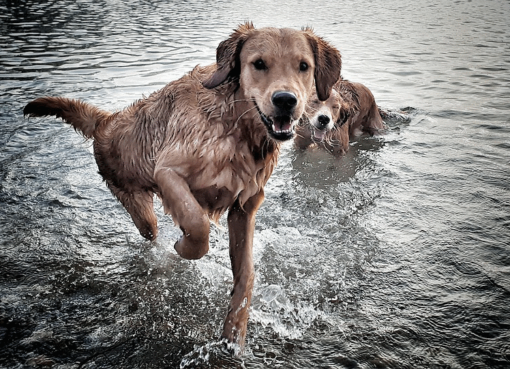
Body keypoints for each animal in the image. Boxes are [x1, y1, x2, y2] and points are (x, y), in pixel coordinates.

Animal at [23, 23, 342, 350]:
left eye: (303, 66)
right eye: (259, 64)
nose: (285, 100)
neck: (235, 128)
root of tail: (106, 122)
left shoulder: (244, 207)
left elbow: (246, 275)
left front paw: (234, 334)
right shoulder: (168, 172)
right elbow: (197, 225)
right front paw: (183, 246)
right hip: (139, 209)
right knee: (151, 231)